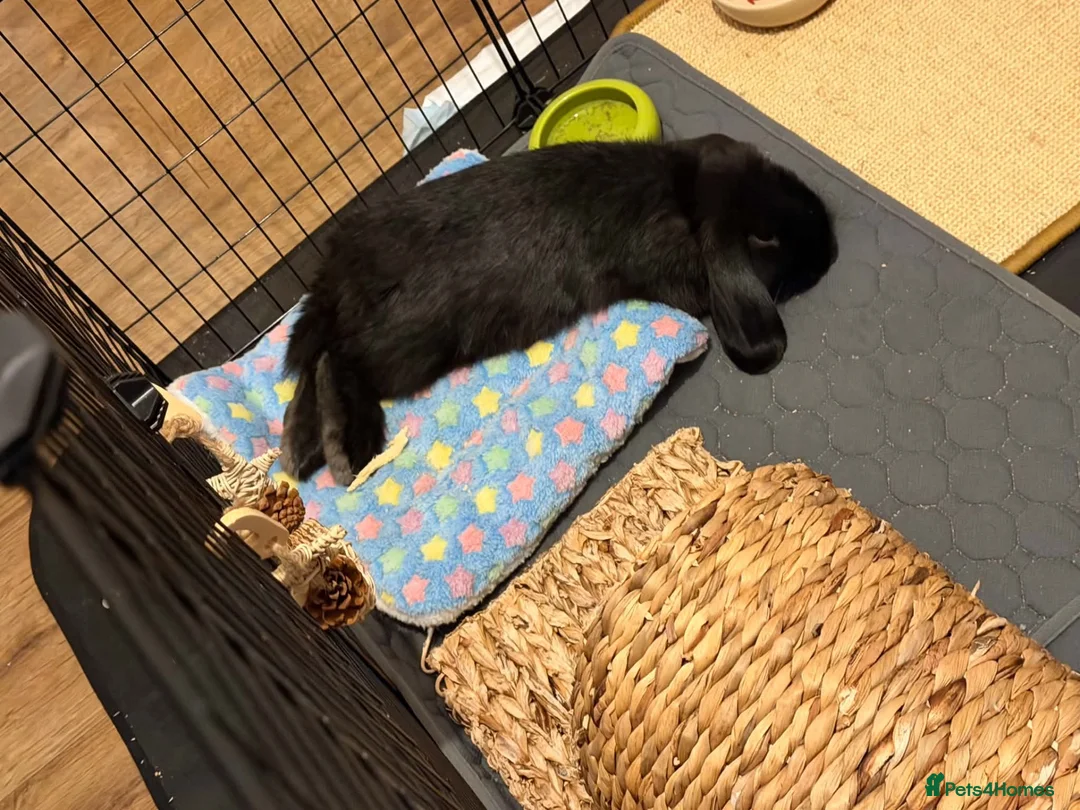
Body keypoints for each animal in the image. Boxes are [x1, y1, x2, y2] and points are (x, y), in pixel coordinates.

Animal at [280, 133, 838, 484]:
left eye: (781, 174)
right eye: (765, 237)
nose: (830, 249)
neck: (686, 200)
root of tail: (335, 274)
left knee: (313, 364)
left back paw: (297, 448)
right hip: (409, 344)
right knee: (338, 362)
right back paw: (342, 450)